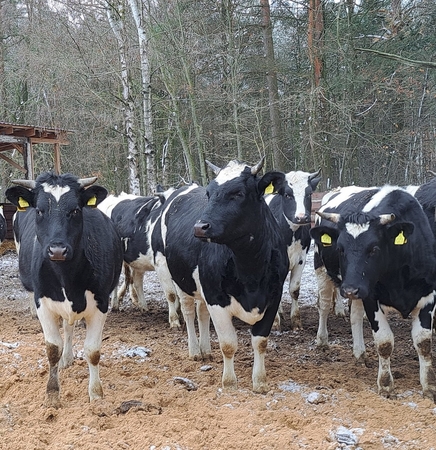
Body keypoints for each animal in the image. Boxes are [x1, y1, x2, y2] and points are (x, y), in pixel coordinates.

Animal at [5, 172, 123, 408]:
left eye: (75, 210)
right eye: (40, 210)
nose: (57, 249)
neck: (66, 277)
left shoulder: (101, 303)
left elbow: (93, 351)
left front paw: (96, 394)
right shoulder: (42, 303)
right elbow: (52, 348)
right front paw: (52, 395)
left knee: (70, 327)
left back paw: (68, 358)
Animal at [154, 160, 290, 392]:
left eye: (238, 193)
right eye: (209, 193)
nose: (200, 227)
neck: (250, 268)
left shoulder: (274, 296)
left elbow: (260, 341)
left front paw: (260, 382)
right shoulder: (216, 297)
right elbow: (228, 344)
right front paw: (229, 382)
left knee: (201, 313)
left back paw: (206, 350)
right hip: (181, 280)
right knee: (189, 313)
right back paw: (195, 351)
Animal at [262, 168, 330, 326]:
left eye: (309, 193)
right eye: (287, 194)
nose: (301, 217)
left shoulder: (300, 259)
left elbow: (294, 289)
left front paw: (296, 321)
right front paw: (274, 322)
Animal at [312, 186, 436, 400]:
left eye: (374, 248)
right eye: (340, 249)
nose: (349, 289)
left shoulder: (428, 296)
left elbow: (424, 343)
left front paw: (428, 386)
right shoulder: (371, 297)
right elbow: (384, 342)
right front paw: (386, 385)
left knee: (355, 316)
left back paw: (359, 354)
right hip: (322, 268)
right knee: (325, 305)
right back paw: (322, 340)